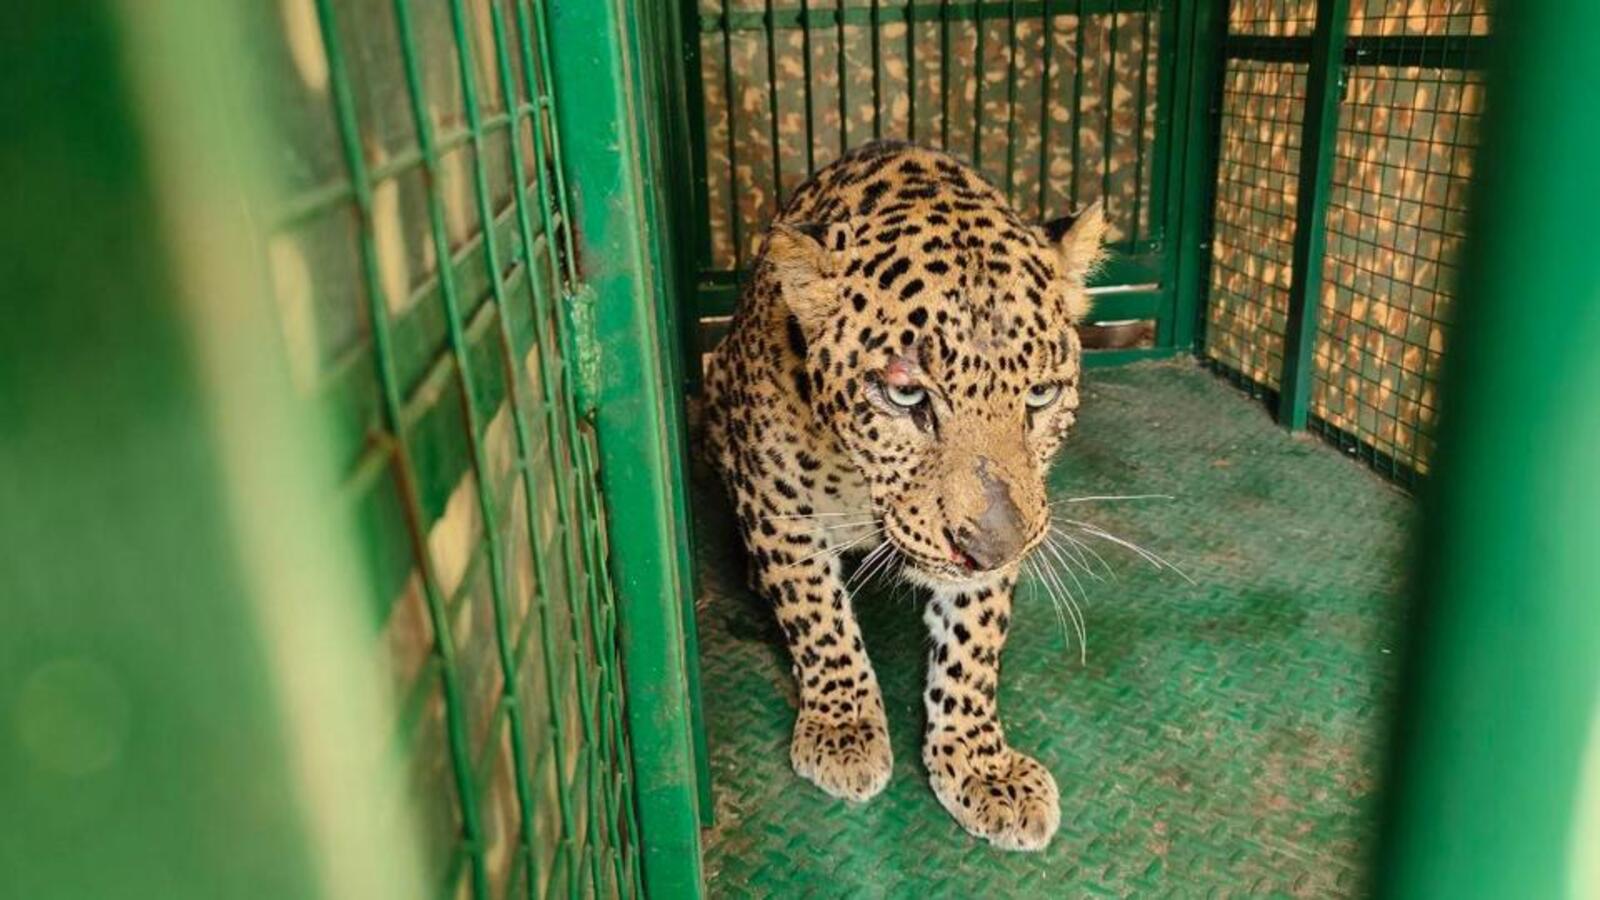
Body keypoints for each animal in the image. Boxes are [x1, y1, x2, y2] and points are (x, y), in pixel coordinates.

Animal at [702, 140, 1106, 852]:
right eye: (905, 394)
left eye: (1040, 395)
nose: (993, 547)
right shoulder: (776, 501)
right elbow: (817, 615)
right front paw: (842, 729)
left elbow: (973, 645)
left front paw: (981, 765)